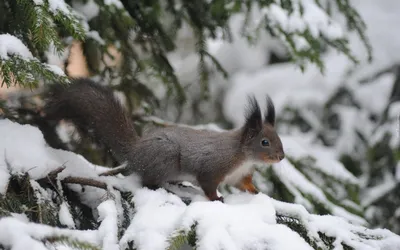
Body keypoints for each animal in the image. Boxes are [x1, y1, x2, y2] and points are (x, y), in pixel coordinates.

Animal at [44, 79, 284, 202]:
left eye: (278, 137)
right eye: (264, 142)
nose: (281, 157)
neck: (243, 155)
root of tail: (136, 151)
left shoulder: (239, 175)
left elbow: (244, 185)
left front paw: (258, 192)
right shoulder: (213, 167)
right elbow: (207, 184)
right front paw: (216, 198)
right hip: (165, 158)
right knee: (147, 181)